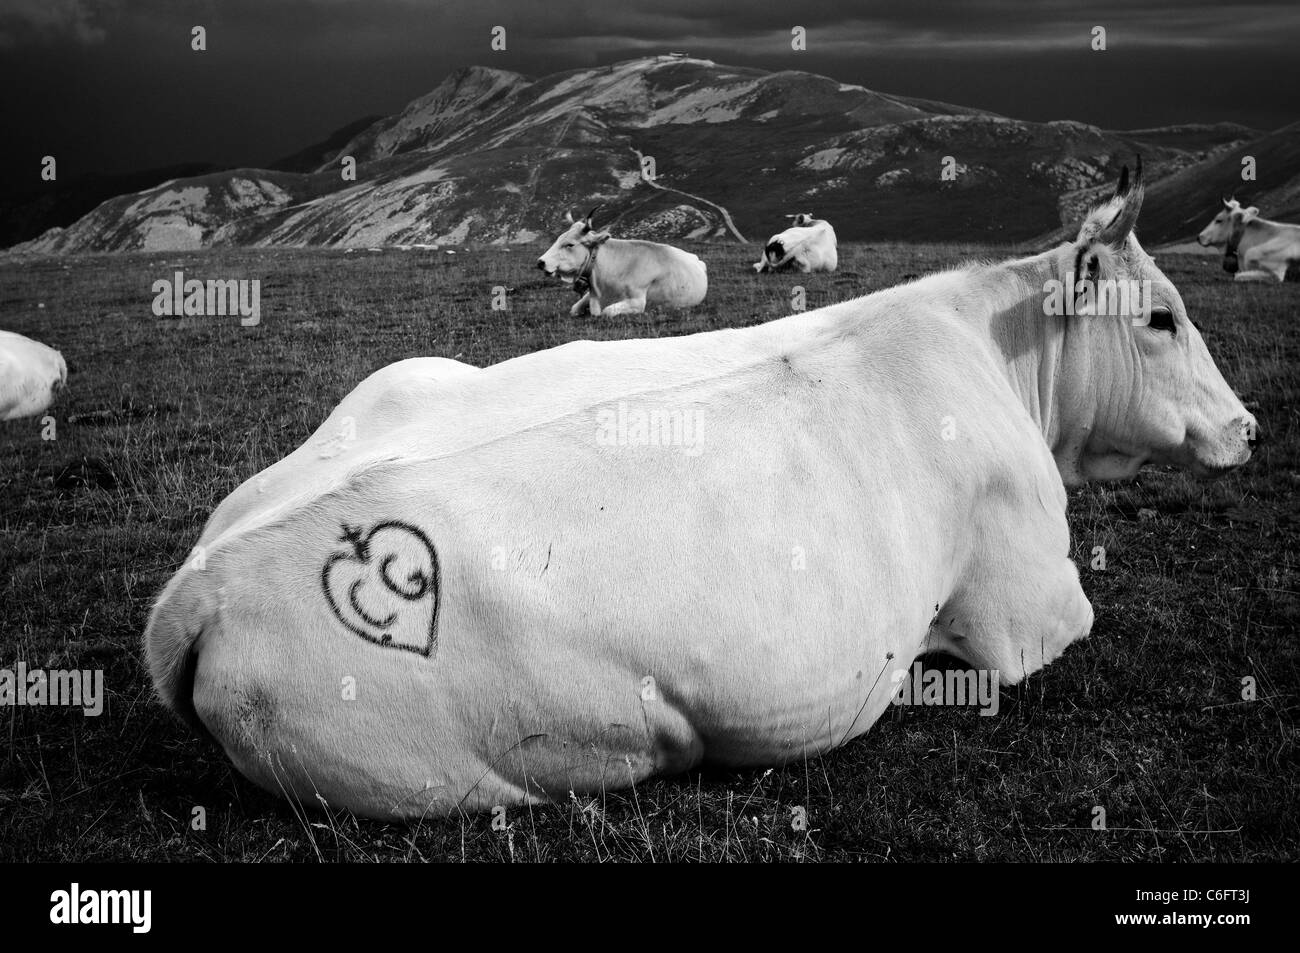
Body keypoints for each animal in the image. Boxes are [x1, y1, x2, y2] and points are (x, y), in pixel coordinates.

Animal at [537, 205, 707, 316]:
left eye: (569, 244)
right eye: (558, 238)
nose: (540, 262)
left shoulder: (638, 302)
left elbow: (607, 312)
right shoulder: (590, 295)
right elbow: (574, 309)